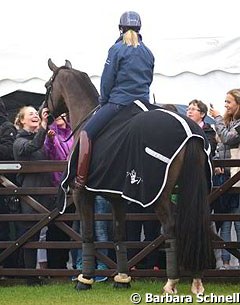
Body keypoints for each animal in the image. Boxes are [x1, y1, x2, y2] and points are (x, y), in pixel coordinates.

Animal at [44, 58, 212, 294]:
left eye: (47, 86)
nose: (42, 112)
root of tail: (189, 132)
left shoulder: (81, 194)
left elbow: (88, 234)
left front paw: (85, 279)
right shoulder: (117, 197)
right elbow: (119, 234)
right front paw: (122, 278)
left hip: (159, 196)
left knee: (171, 226)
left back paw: (171, 283)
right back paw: (197, 281)